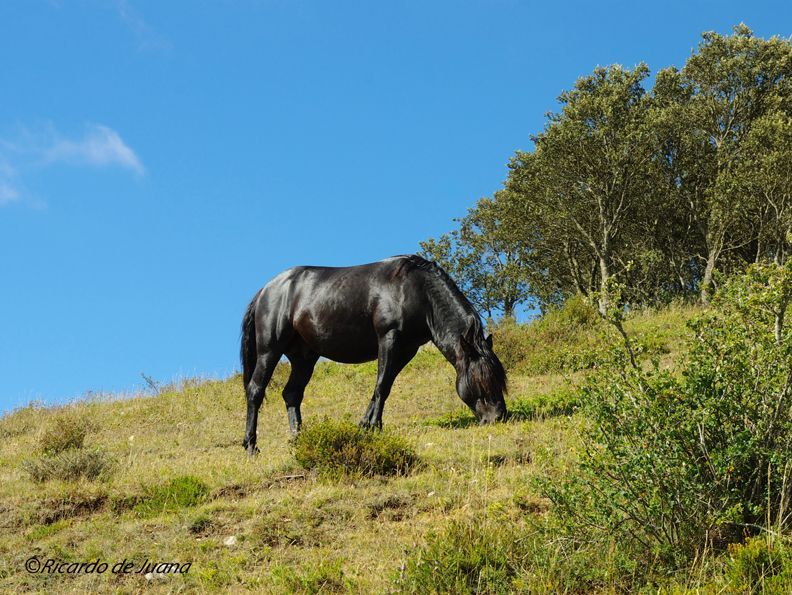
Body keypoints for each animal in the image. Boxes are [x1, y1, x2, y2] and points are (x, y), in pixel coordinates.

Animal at [238, 254, 508, 454]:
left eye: (499, 378)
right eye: (481, 379)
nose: (498, 417)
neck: (417, 291)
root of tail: (265, 290)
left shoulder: (407, 349)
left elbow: (383, 385)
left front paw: (365, 425)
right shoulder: (389, 339)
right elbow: (382, 386)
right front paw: (376, 427)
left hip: (304, 357)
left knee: (292, 394)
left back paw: (298, 439)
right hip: (269, 351)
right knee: (255, 391)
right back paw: (251, 446)